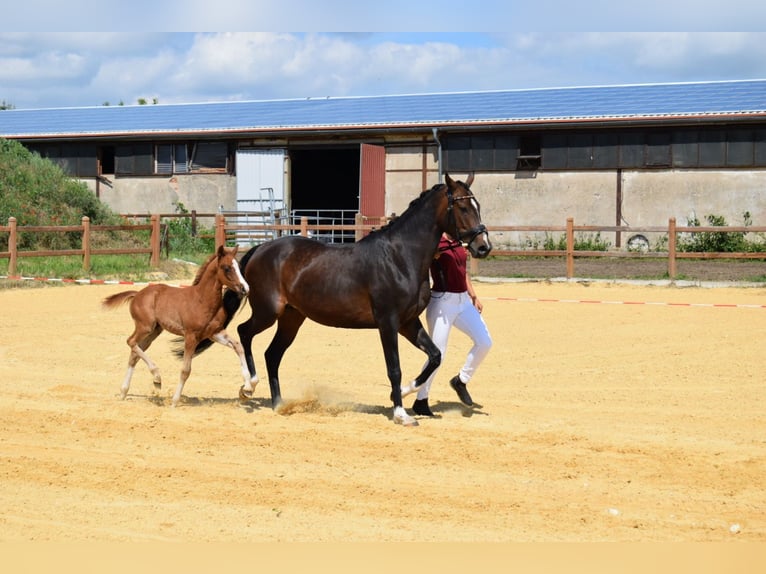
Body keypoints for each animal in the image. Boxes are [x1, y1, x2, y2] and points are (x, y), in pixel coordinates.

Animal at [102, 245, 250, 408]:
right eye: (226, 268)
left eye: (238, 267)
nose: (245, 288)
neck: (202, 300)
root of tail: (137, 294)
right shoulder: (191, 336)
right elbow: (186, 370)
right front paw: (174, 401)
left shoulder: (215, 333)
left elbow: (238, 346)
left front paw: (248, 388)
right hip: (145, 327)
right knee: (131, 342)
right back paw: (156, 377)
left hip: (154, 331)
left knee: (134, 354)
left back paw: (125, 391)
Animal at [228, 176, 492, 428]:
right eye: (463, 207)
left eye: (477, 205)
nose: (483, 246)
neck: (400, 257)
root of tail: (261, 248)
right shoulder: (388, 323)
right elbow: (394, 369)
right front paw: (401, 414)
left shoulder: (408, 323)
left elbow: (435, 356)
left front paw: (403, 393)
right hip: (268, 312)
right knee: (244, 332)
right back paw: (248, 387)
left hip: (292, 317)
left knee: (272, 354)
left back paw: (278, 404)